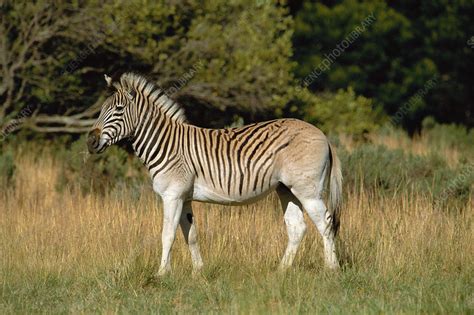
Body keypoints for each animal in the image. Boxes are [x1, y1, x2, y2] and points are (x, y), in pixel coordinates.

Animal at [88, 73, 340, 276]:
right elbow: (191, 235)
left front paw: (161, 274)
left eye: (118, 110)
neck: (167, 145)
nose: (90, 142)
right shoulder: (184, 198)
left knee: (325, 223)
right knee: (297, 227)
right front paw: (198, 272)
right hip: (286, 189)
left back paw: (332, 269)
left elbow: (167, 234)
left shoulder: (172, 195)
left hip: (307, 191)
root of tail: (322, 134)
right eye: (101, 110)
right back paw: (281, 271)